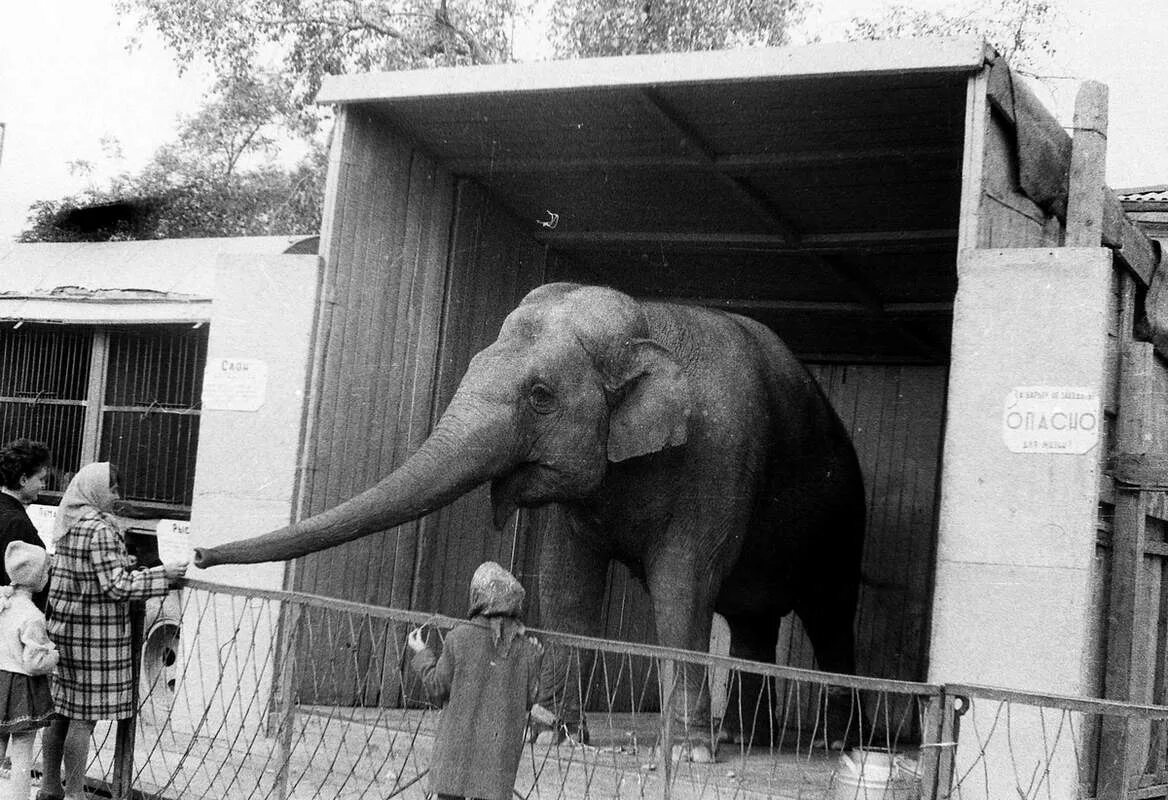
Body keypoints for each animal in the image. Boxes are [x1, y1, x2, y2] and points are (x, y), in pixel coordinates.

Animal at [196, 282, 864, 761]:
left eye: (541, 395)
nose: (198, 555)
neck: (648, 321)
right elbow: (566, 581)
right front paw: (550, 736)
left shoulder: (718, 457)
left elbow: (684, 587)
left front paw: (689, 755)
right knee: (754, 623)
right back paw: (747, 739)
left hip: (846, 515)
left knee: (831, 615)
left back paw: (829, 742)